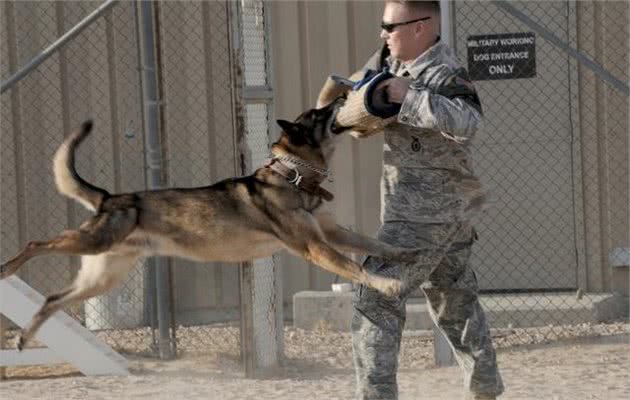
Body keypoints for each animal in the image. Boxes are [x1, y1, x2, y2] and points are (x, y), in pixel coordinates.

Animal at [2, 99, 422, 350]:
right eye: (318, 115)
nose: (340, 97)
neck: (293, 177)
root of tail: (107, 198)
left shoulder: (332, 233)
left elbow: (375, 244)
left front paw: (408, 251)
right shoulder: (314, 246)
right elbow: (355, 267)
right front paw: (388, 284)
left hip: (102, 276)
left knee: (52, 299)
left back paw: (24, 338)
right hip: (92, 242)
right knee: (36, 244)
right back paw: (6, 270)